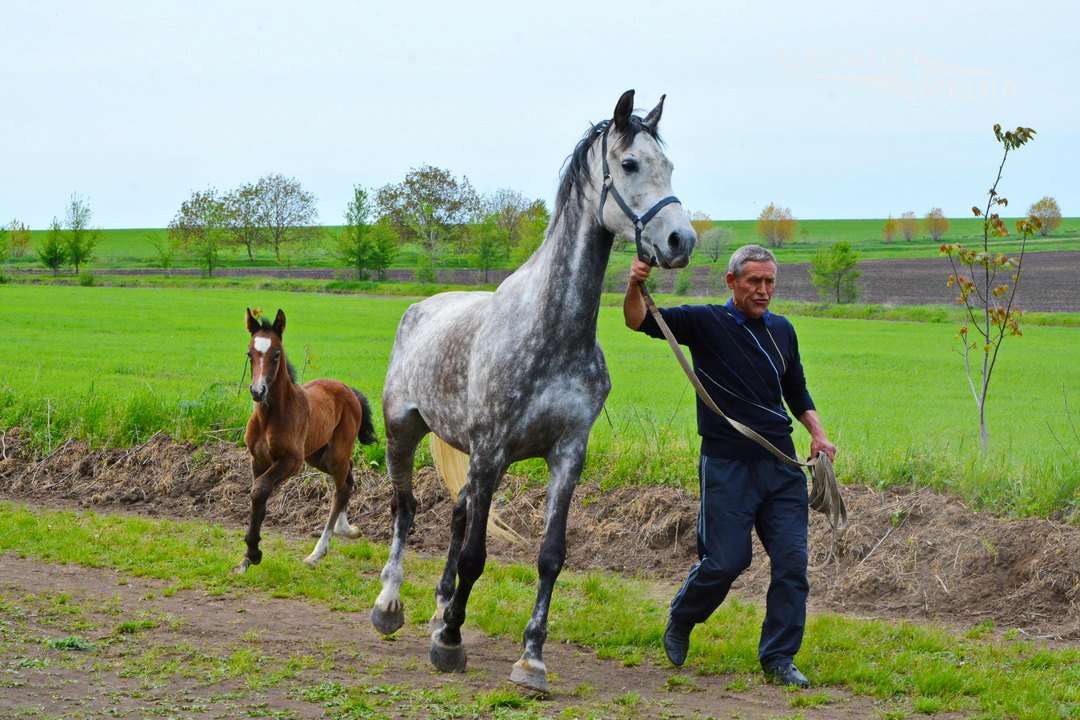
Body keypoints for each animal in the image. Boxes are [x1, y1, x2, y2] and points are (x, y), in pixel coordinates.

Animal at [232, 310, 375, 574]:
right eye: (250, 354)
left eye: (276, 354)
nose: (258, 391)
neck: (269, 416)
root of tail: (348, 389)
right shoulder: (258, 460)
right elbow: (258, 496)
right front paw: (246, 559)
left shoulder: (292, 461)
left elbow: (260, 490)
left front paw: (254, 552)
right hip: (319, 456)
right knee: (348, 478)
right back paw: (346, 530)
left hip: (334, 454)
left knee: (341, 489)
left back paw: (317, 553)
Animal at [371, 90, 695, 690]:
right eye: (629, 164)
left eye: (669, 165)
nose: (680, 240)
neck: (552, 329)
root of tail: (420, 308)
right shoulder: (493, 450)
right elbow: (475, 555)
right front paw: (450, 644)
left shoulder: (566, 455)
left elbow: (550, 556)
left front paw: (531, 658)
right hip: (403, 431)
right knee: (405, 509)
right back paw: (390, 606)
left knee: (455, 514)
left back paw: (439, 608)